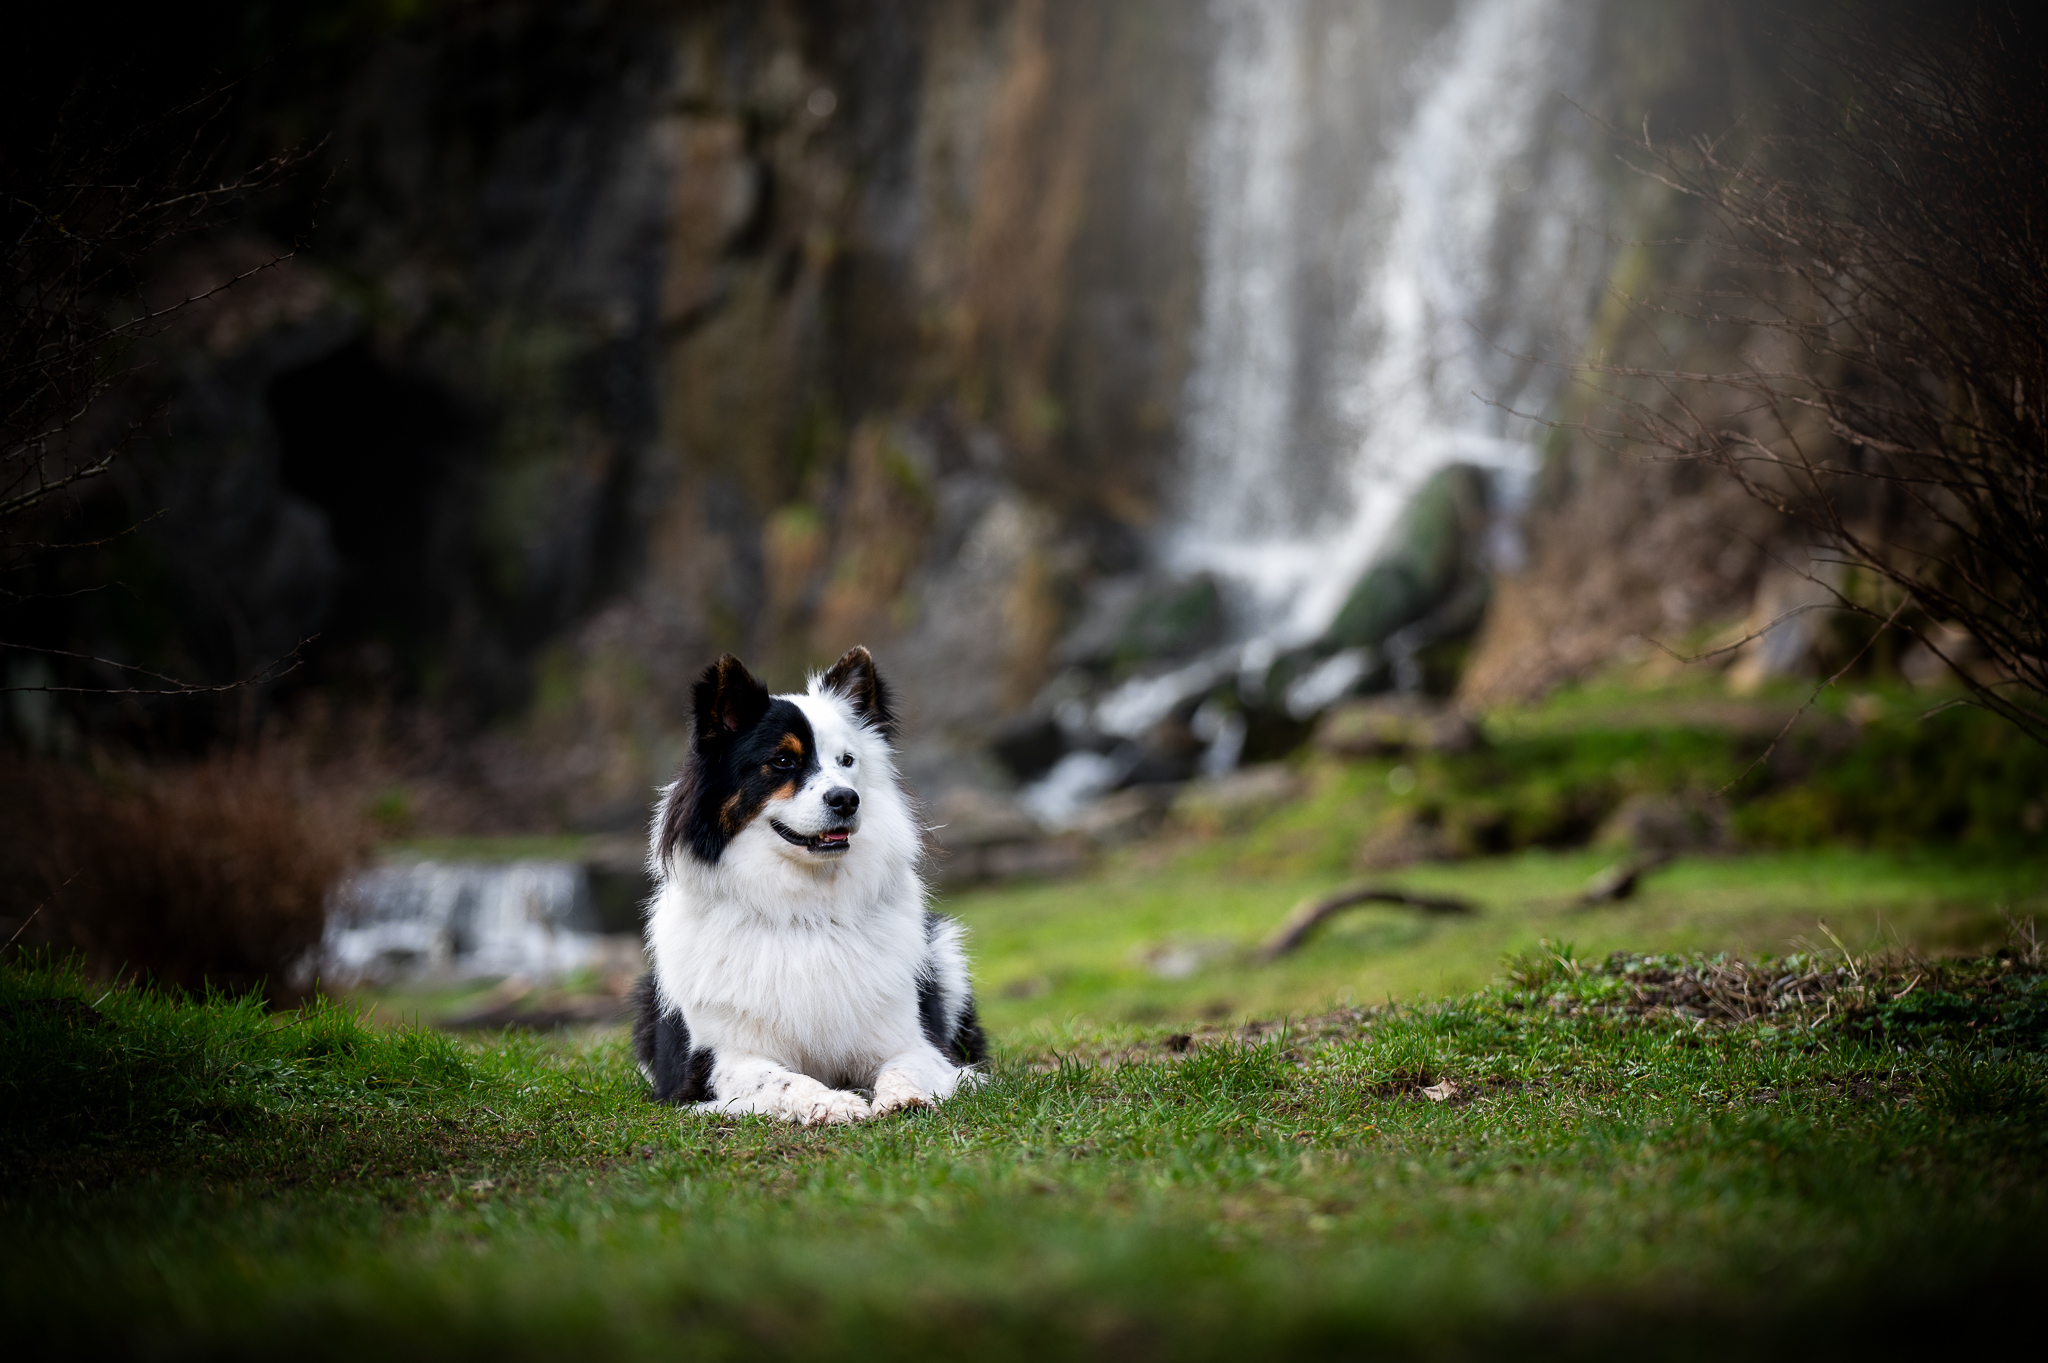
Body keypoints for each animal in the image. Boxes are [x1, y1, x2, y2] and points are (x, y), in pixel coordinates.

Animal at [626, 642, 987, 1121]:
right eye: (782, 761)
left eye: (847, 761)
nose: (846, 799)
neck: (804, 909)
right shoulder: (713, 1063)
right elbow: (781, 1079)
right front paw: (831, 1102)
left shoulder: (916, 1042)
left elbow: (904, 1066)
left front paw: (901, 1098)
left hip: (945, 950)